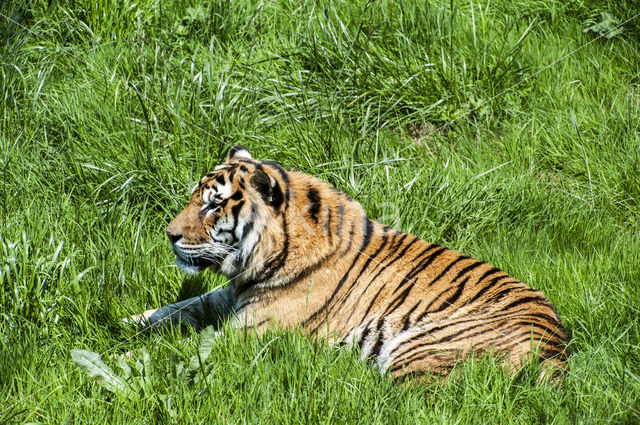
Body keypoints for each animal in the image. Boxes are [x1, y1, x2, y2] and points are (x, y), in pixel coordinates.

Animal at [127, 146, 568, 380]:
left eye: (214, 205)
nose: (169, 235)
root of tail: (556, 350)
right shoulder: (228, 298)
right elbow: (180, 308)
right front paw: (130, 321)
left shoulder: (249, 330)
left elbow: (180, 350)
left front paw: (126, 359)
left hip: (418, 349)